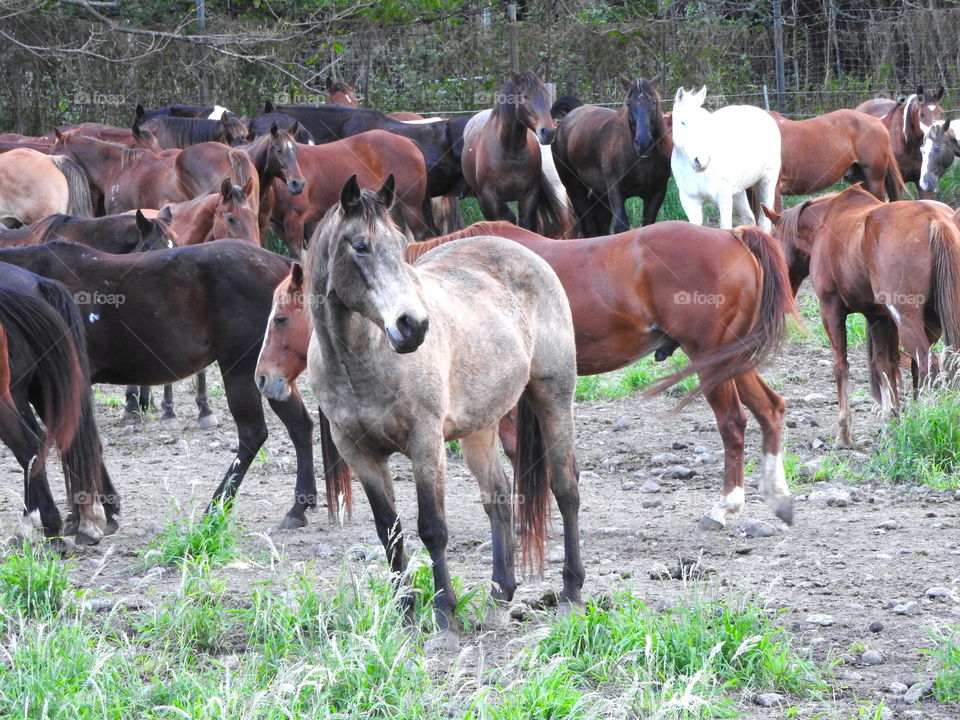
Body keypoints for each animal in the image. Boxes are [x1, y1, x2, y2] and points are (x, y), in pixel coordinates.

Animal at [462, 68, 572, 236]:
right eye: (524, 96)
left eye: (545, 95)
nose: (548, 132)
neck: (511, 152)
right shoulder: (488, 198)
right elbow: (505, 218)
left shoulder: (530, 196)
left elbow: (526, 223)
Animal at [552, 73, 672, 232]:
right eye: (628, 103)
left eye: (653, 102)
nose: (643, 143)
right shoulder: (615, 190)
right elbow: (621, 226)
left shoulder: (657, 193)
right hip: (574, 187)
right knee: (587, 221)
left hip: (600, 194)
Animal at [672, 86, 784, 233]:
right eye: (683, 122)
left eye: (705, 123)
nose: (702, 161)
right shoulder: (690, 200)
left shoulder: (724, 197)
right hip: (738, 191)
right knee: (749, 218)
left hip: (767, 181)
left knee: (764, 221)